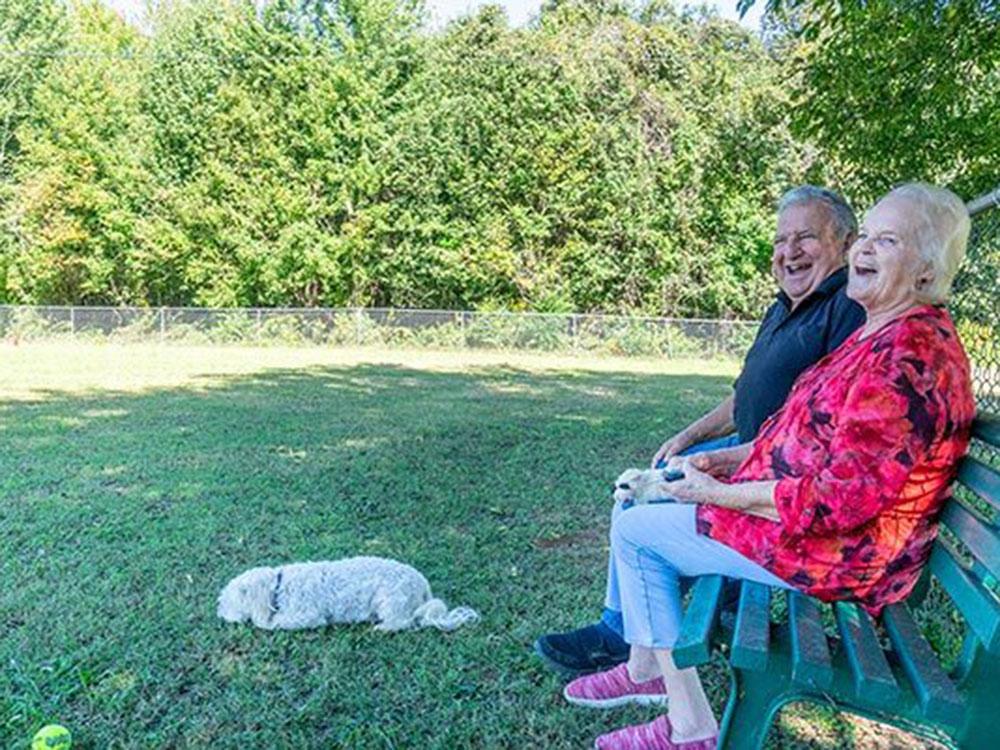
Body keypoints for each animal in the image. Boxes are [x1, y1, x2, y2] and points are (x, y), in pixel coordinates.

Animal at [218, 560, 480, 636]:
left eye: (229, 600)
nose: (220, 613)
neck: (279, 586)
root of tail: (422, 584)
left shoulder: (309, 616)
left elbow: (279, 623)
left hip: (390, 599)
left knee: (403, 622)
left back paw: (381, 628)